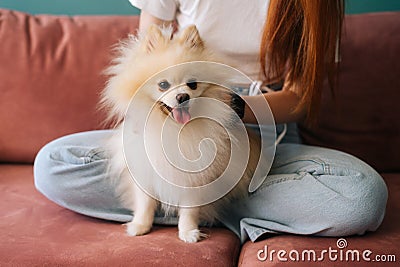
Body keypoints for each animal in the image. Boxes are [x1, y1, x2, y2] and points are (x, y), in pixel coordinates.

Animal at [100, 24, 262, 243]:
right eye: (163, 85)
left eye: (192, 84)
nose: (182, 96)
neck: (174, 129)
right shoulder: (145, 170)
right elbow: (145, 203)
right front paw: (140, 225)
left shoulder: (195, 177)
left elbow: (189, 209)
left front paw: (188, 232)